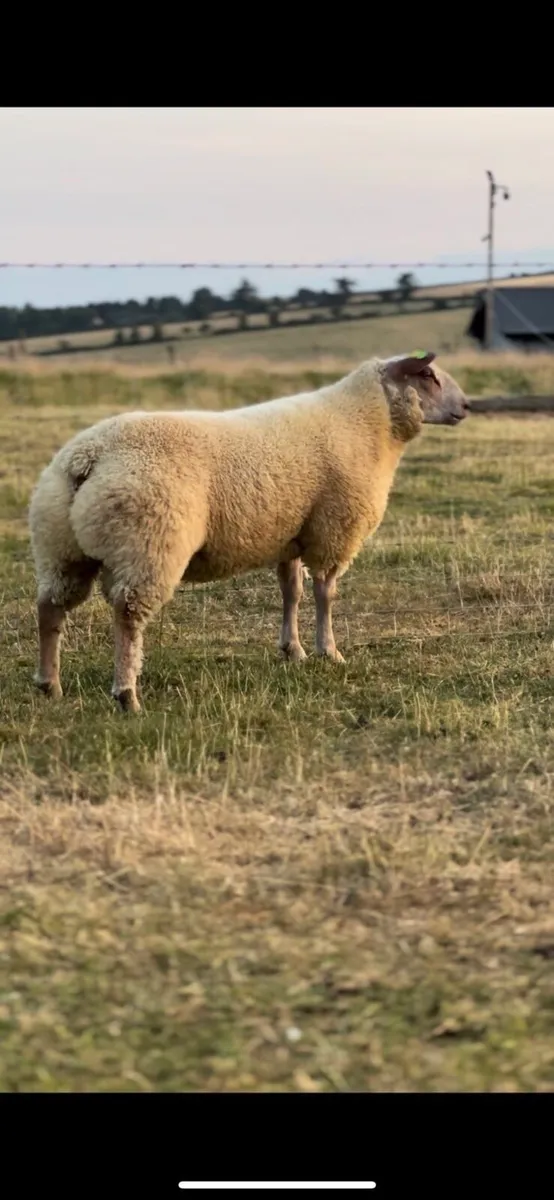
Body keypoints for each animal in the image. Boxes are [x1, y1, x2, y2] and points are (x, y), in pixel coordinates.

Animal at [28, 350, 469, 712]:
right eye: (427, 374)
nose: (466, 406)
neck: (365, 420)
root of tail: (88, 457)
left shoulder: (290, 535)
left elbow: (291, 591)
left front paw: (293, 649)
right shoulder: (333, 532)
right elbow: (325, 594)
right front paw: (329, 651)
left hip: (61, 549)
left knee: (50, 608)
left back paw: (50, 685)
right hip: (147, 545)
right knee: (128, 617)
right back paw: (126, 694)